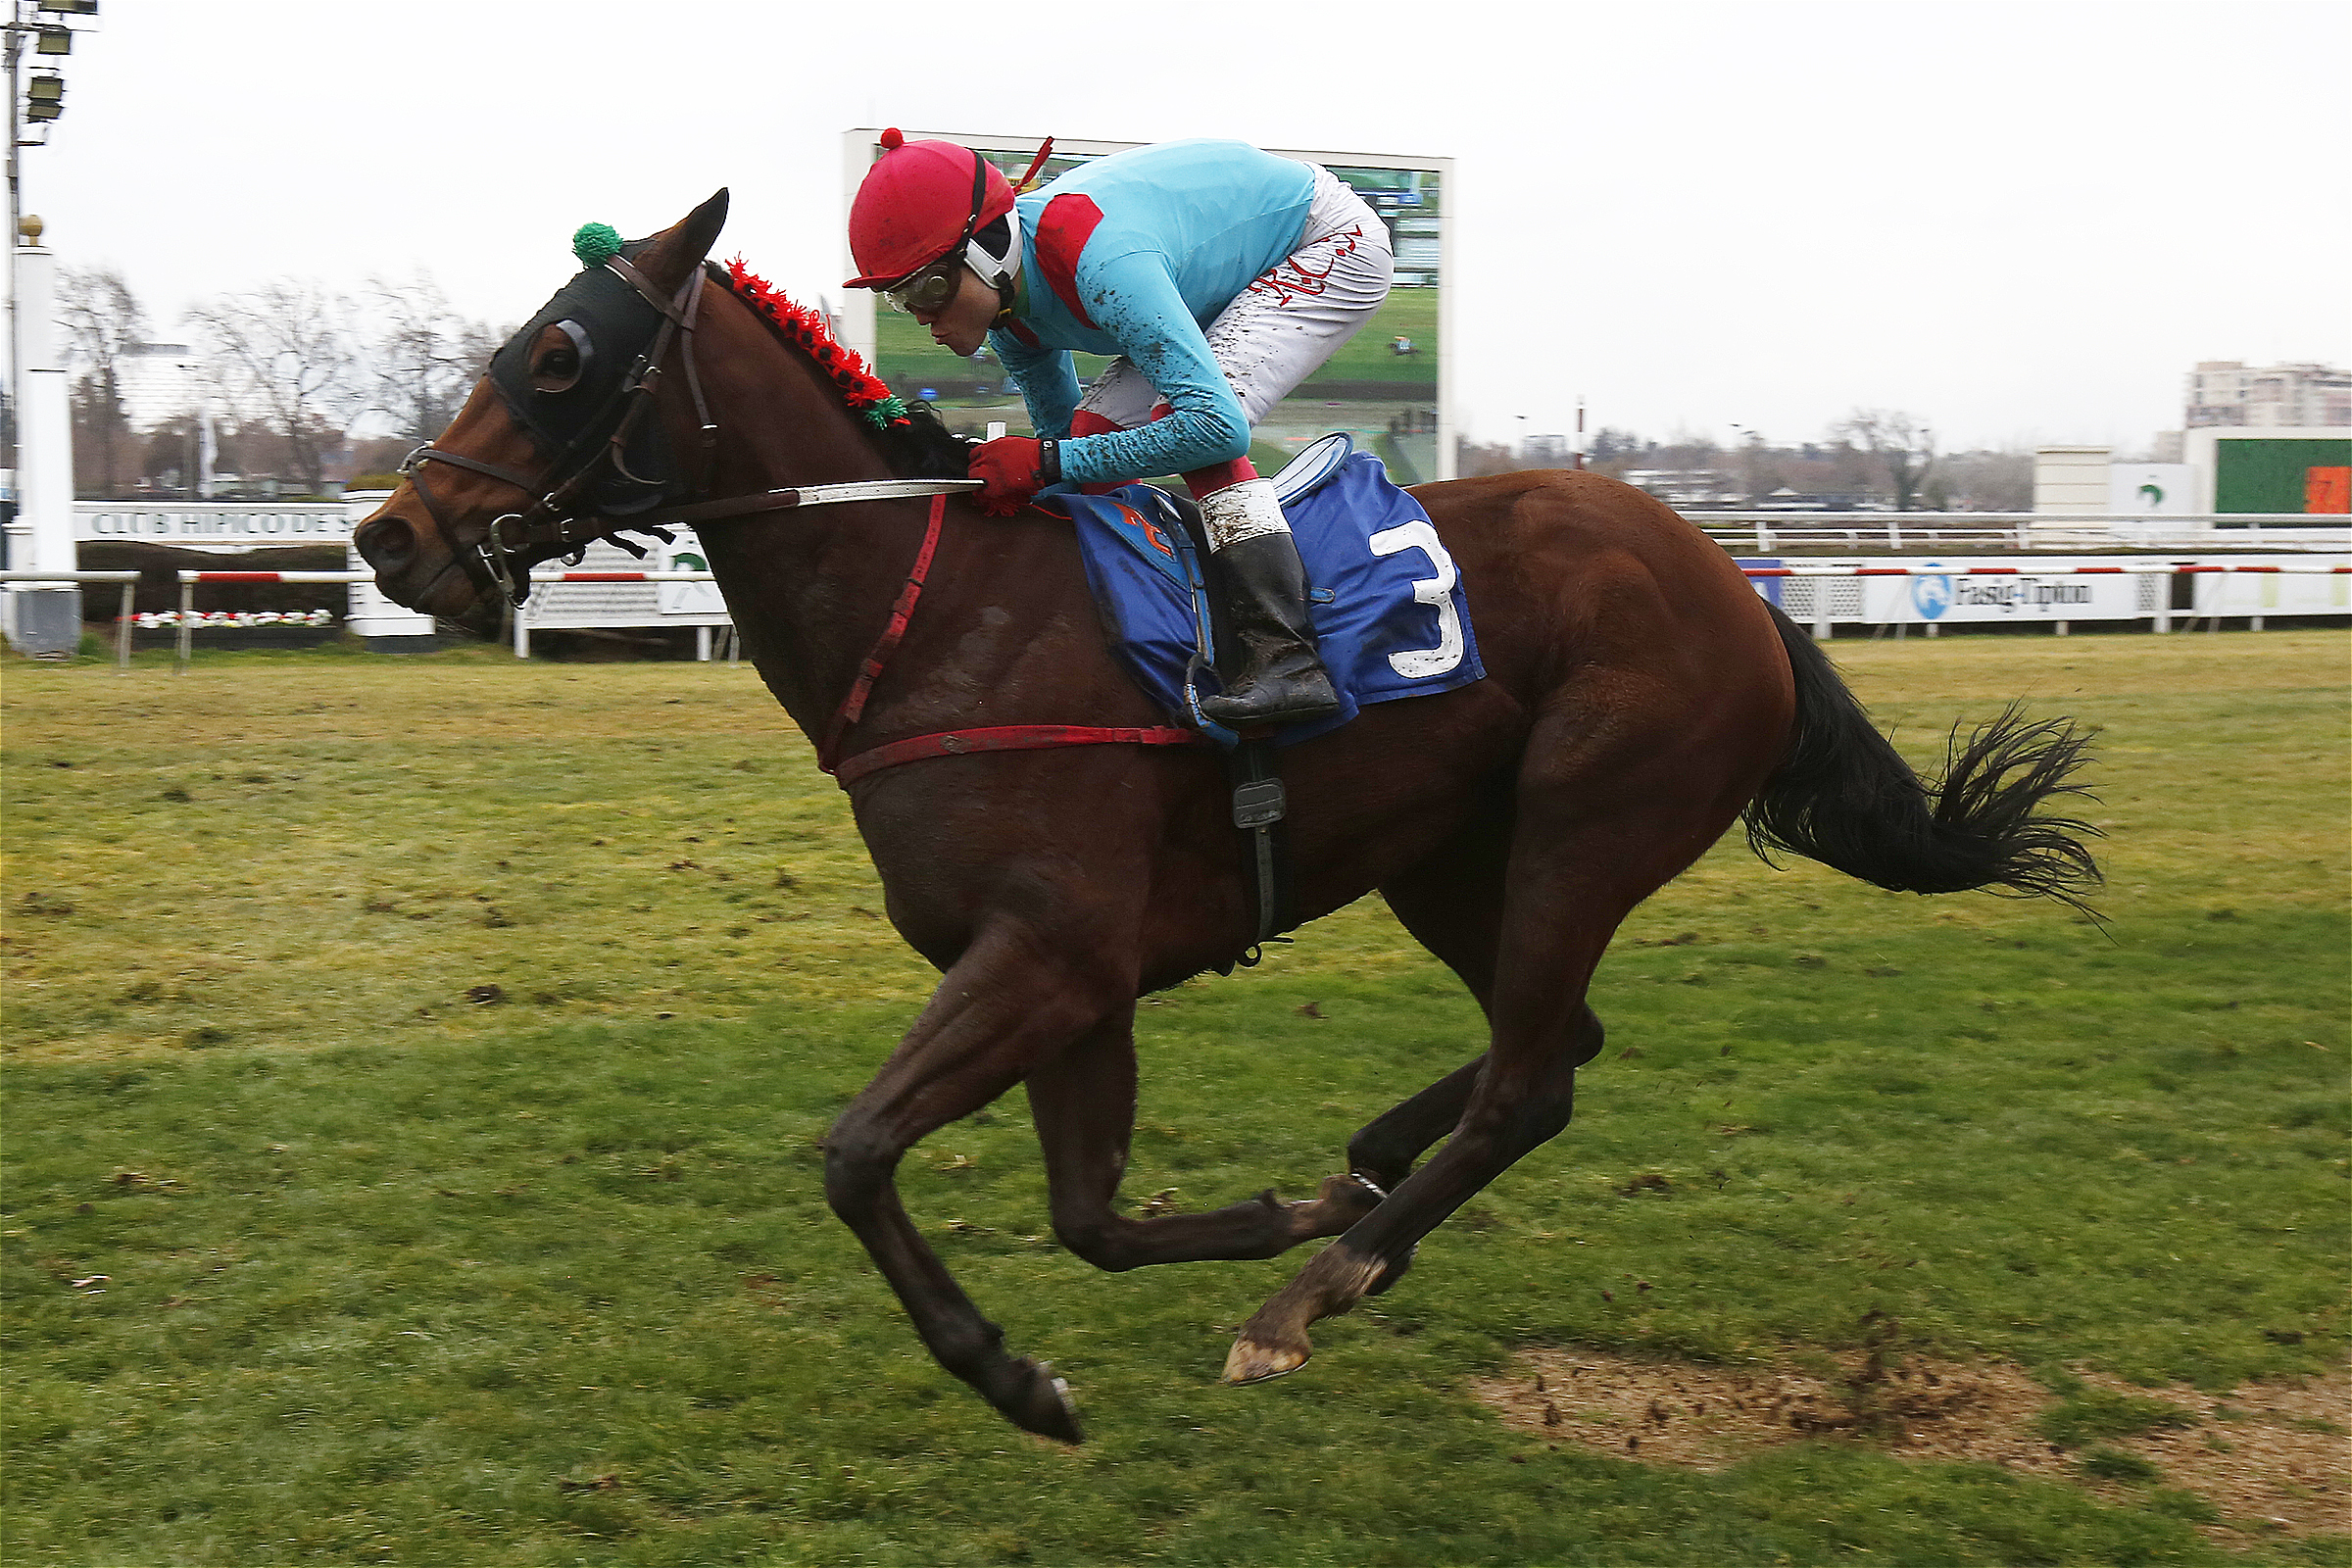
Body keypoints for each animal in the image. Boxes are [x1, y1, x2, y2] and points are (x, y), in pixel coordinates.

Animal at [354, 191, 2098, 1443]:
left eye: (560, 359)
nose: (388, 537)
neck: (939, 610)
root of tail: (1741, 593)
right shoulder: (1080, 983)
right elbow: (1088, 1218)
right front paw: (1274, 1216)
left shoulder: (1050, 953)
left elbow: (857, 1157)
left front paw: (1022, 1375)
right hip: (1453, 856)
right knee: (1555, 1050)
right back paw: (1367, 1197)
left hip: (1585, 825)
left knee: (1529, 1082)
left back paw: (1314, 1295)